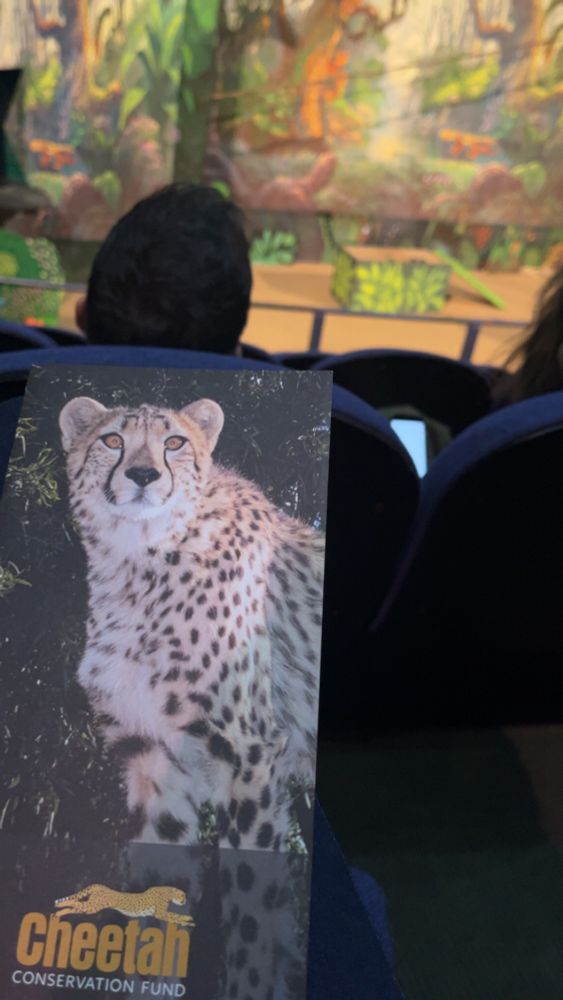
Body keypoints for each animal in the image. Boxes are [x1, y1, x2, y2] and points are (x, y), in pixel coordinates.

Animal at [59, 395, 325, 852]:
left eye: (174, 442)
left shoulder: (248, 750)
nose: (143, 474)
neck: (137, 561)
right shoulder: (151, 755)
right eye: (112, 440)